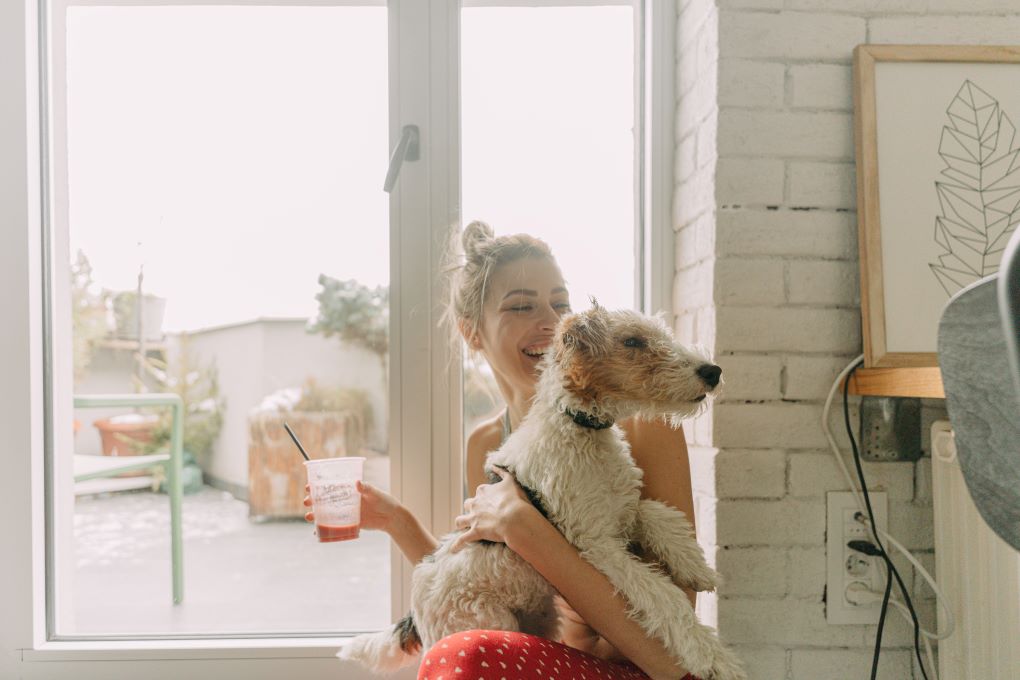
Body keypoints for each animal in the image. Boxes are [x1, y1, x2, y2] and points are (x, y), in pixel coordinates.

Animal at [338, 307, 746, 680]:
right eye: (632, 341)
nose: (712, 371)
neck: (580, 427)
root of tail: (415, 604)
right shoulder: (599, 544)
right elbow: (665, 597)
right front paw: (712, 658)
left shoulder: (620, 511)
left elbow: (655, 512)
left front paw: (695, 566)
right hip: (483, 618)